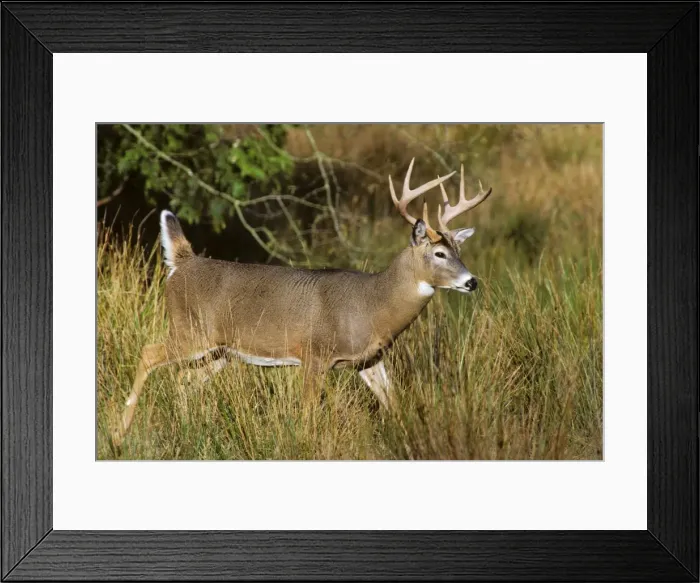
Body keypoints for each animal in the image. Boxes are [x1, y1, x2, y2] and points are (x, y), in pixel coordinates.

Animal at [111, 158, 492, 447]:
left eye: (459, 250)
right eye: (439, 253)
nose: (471, 281)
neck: (373, 305)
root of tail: (183, 263)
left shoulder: (368, 360)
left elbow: (394, 403)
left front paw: (408, 439)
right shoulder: (314, 353)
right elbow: (308, 413)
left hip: (220, 351)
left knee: (183, 379)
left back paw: (189, 428)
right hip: (189, 329)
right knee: (149, 354)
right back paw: (120, 431)